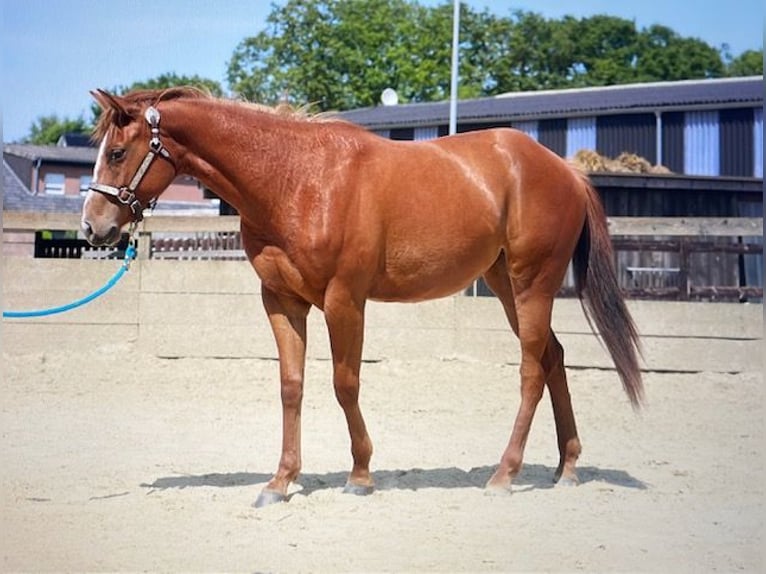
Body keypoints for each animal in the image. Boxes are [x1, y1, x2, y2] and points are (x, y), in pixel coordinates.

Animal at [81, 87, 643, 508]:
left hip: (532, 284)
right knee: (553, 358)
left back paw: (505, 474)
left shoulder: (344, 300)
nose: (93, 227)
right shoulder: (280, 301)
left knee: (531, 371)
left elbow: (344, 383)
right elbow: (291, 387)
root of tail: (566, 170)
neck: (296, 179)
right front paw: (280, 482)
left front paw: (360, 474)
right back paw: (566, 466)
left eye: (117, 152)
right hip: (506, 283)